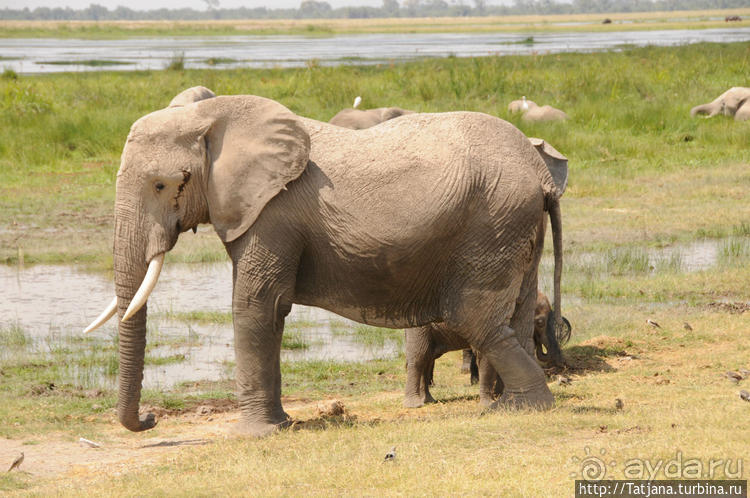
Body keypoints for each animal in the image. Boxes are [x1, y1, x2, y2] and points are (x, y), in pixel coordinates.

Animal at [83, 87, 564, 438]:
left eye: (161, 185)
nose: (151, 419)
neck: (216, 115)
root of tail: (539, 175)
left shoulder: (273, 212)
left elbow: (256, 307)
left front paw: (255, 435)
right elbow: (268, 311)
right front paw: (280, 426)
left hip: (492, 222)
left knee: (475, 317)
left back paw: (524, 408)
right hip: (514, 227)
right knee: (515, 313)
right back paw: (512, 404)